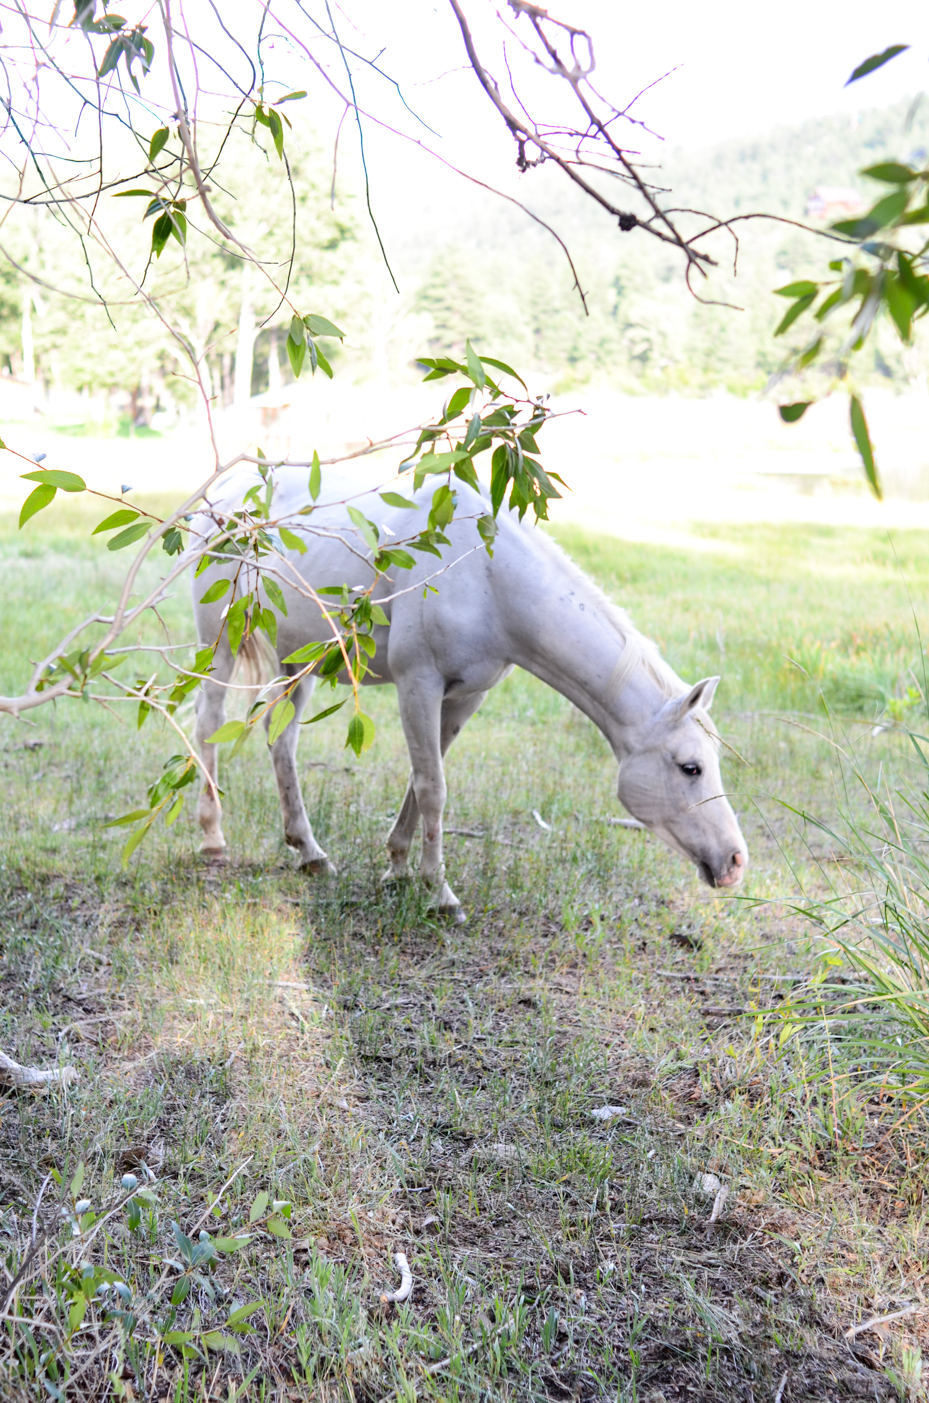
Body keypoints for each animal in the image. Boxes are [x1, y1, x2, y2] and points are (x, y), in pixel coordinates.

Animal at [190, 465, 752, 914]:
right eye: (691, 768)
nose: (736, 861)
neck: (486, 576)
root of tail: (222, 493)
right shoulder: (418, 683)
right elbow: (432, 788)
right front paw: (440, 894)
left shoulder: (465, 696)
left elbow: (421, 780)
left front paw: (398, 870)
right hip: (220, 641)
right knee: (208, 722)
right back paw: (213, 839)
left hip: (299, 660)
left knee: (280, 737)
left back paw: (309, 852)